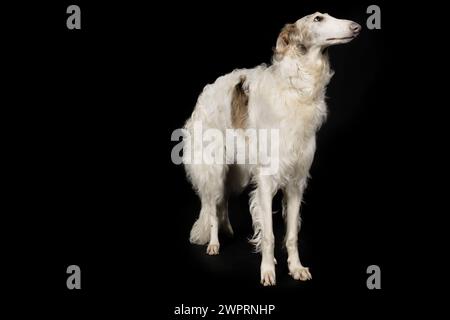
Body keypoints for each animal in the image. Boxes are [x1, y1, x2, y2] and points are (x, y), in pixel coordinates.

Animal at [181, 12, 360, 286]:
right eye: (318, 18)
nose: (357, 27)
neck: (297, 87)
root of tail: (204, 95)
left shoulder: (296, 182)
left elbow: (291, 235)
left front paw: (296, 268)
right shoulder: (265, 182)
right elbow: (269, 235)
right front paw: (267, 271)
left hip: (237, 173)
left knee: (223, 203)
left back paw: (227, 230)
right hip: (214, 169)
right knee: (211, 206)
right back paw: (214, 243)